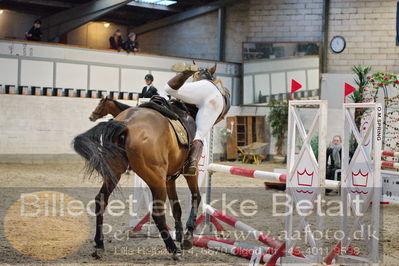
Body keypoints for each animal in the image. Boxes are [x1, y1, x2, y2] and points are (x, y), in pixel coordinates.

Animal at [73, 64, 220, 260]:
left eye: (100, 104)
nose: (91, 116)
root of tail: (126, 123)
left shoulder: (170, 178)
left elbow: (177, 208)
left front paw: (181, 235)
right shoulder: (190, 172)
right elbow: (195, 197)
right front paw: (186, 237)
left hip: (117, 174)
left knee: (101, 200)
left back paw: (99, 244)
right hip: (154, 179)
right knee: (157, 212)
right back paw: (173, 249)